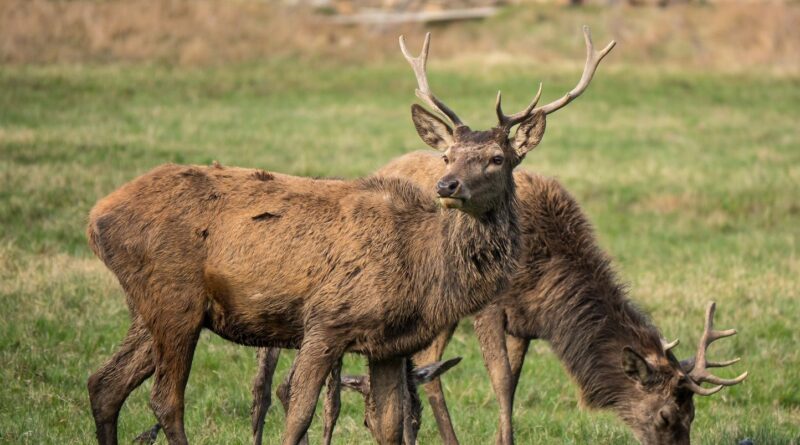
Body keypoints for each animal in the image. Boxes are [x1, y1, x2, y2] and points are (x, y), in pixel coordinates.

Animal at [84, 32, 564, 444]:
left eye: (497, 158)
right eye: (447, 155)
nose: (447, 185)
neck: (423, 265)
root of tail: (95, 217)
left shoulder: (390, 345)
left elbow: (389, 427)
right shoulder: (325, 320)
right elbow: (298, 418)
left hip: (154, 306)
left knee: (104, 383)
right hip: (174, 298)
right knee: (165, 400)